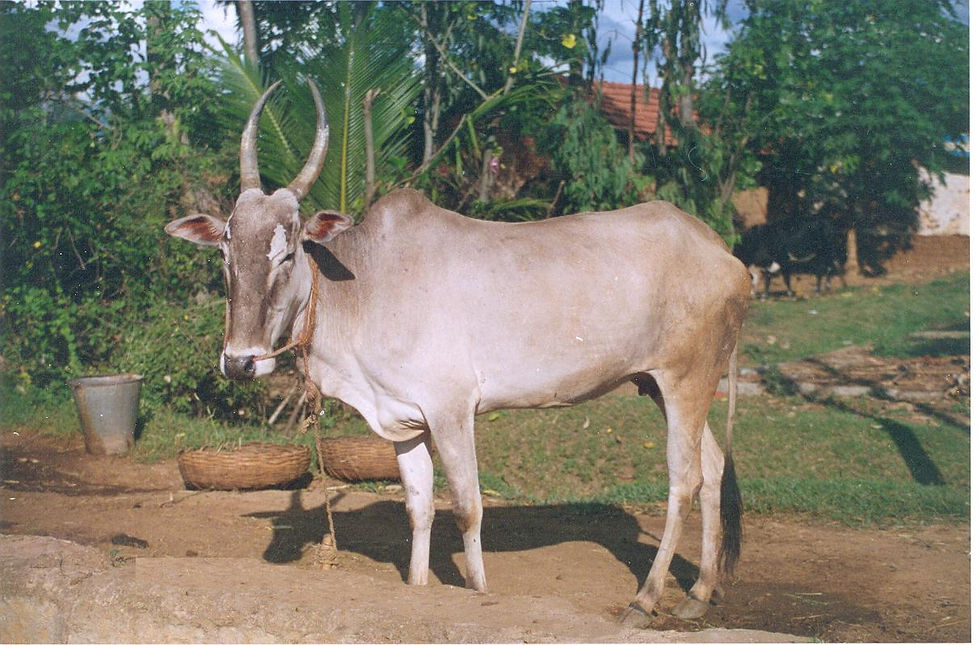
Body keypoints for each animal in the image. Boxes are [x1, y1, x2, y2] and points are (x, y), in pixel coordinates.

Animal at [165, 80, 752, 624]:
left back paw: (645, 599)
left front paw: (477, 591)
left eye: (286, 251)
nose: (240, 361)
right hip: (661, 387)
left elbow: (467, 509)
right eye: (225, 251)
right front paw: (419, 585)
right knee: (713, 468)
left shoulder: (452, 411)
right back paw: (700, 593)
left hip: (685, 381)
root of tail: (721, 251)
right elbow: (419, 508)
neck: (365, 281)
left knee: (684, 480)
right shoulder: (404, 422)